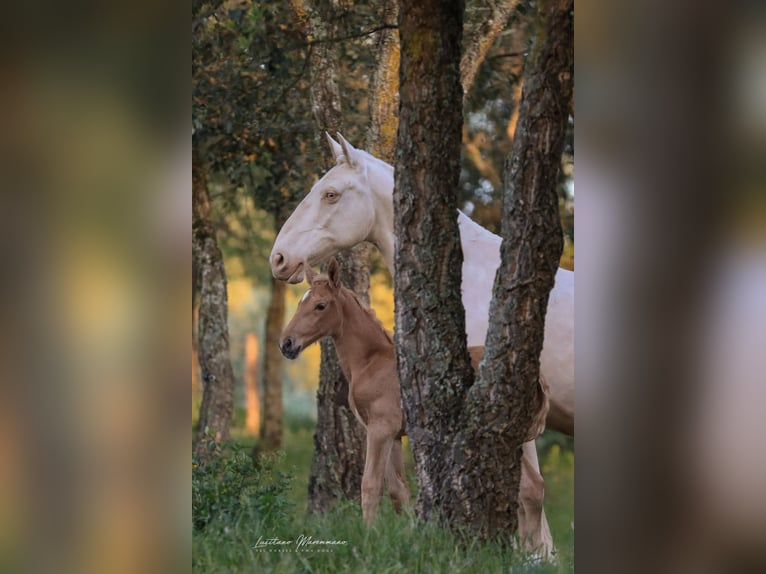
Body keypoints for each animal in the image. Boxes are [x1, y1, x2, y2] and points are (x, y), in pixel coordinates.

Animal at [270, 134, 568, 560]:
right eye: (300, 303)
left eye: (330, 194)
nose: (287, 344)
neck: (373, 360)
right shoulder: (394, 433)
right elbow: (398, 490)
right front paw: (407, 536)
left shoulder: (380, 430)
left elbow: (370, 486)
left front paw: (369, 542)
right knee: (534, 492)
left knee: (530, 492)